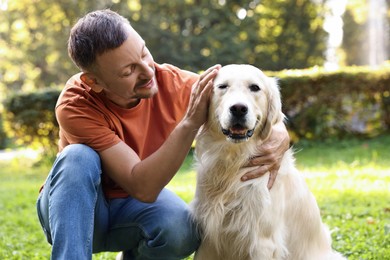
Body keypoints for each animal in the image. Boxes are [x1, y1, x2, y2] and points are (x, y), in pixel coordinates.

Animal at [190, 64, 346, 258]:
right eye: (222, 86)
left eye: (255, 87)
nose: (238, 108)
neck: (233, 162)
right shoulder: (209, 236)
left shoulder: (262, 241)